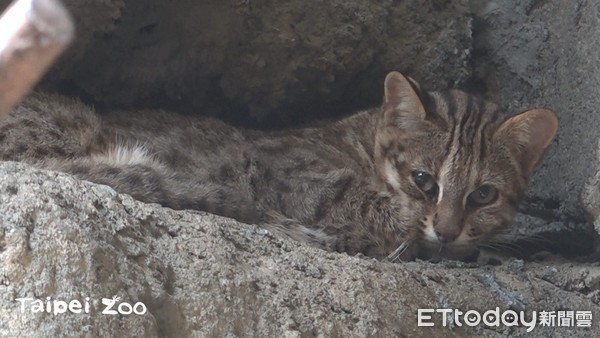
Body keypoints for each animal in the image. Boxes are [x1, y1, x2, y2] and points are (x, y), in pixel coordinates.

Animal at [0, 72, 556, 262]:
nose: (446, 229)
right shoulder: (289, 172)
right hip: (68, 131)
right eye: (423, 180)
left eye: (483, 194)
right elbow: (373, 207)